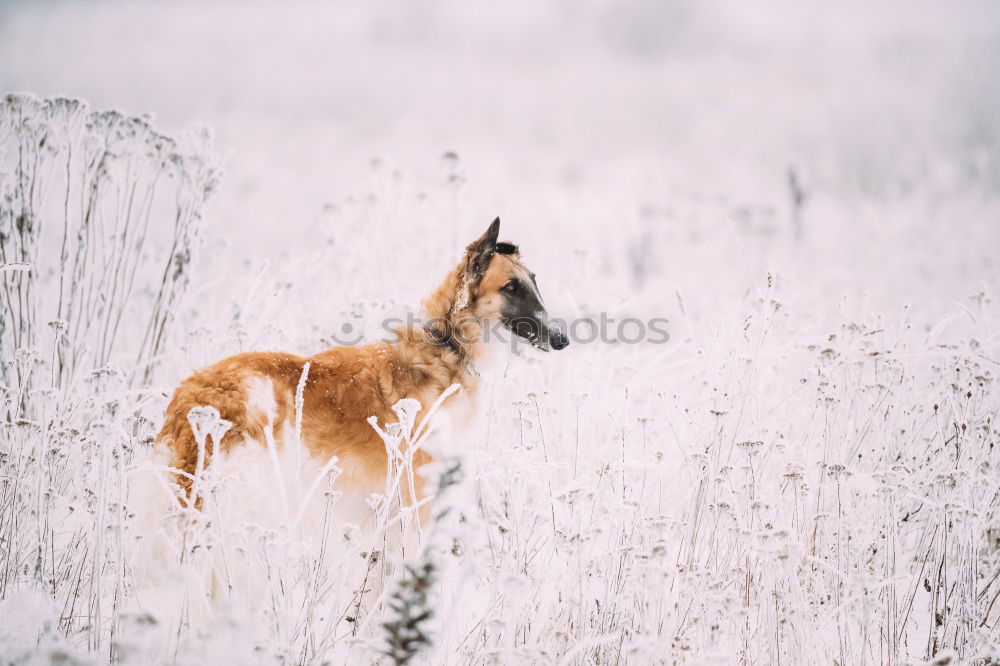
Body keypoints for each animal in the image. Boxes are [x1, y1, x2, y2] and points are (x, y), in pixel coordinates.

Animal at [152, 218, 568, 520]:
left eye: (534, 281)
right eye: (511, 287)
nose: (563, 339)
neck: (447, 347)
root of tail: (184, 394)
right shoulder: (417, 486)